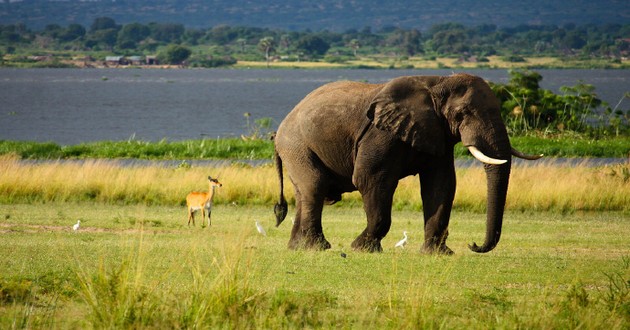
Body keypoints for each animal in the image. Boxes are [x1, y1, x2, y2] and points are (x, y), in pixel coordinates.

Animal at [272, 73, 544, 254]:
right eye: (462, 114)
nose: (473, 244)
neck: (437, 82)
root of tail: (279, 130)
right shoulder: (381, 134)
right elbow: (370, 179)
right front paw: (362, 248)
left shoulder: (437, 132)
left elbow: (441, 185)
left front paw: (438, 254)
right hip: (296, 145)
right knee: (314, 187)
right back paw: (317, 248)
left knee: (304, 193)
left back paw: (297, 247)